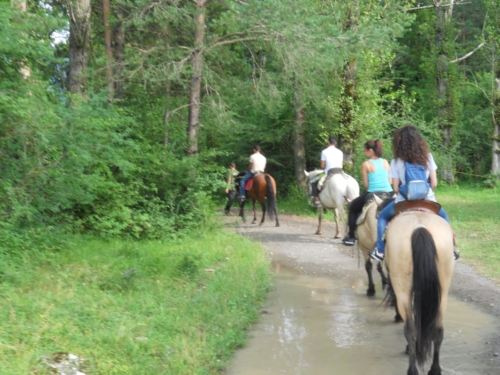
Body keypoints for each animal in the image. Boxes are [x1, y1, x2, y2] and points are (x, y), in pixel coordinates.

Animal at [376, 197, 458, 375]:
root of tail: (420, 228)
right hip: (442, 291)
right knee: (438, 329)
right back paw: (435, 369)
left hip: (403, 288)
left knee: (410, 327)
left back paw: (412, 368)